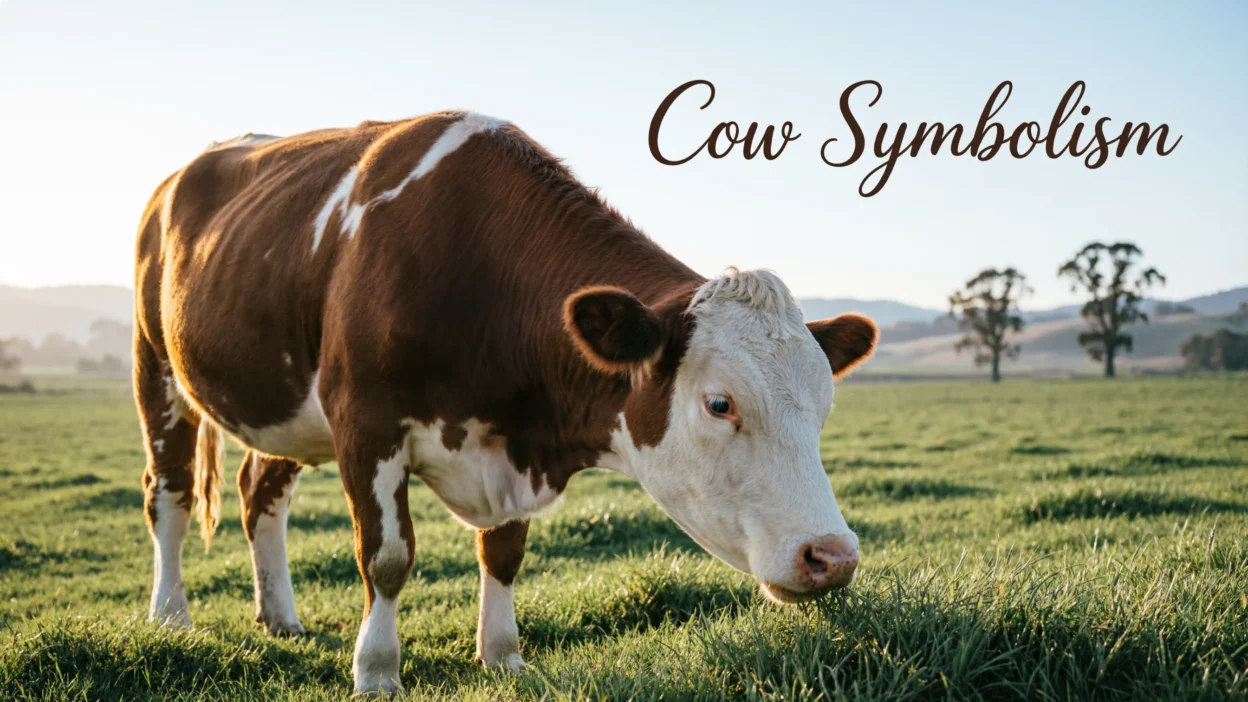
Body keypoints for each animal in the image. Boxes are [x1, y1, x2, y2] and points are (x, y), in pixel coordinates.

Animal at [133, 111, 878, 694]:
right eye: (720, 404)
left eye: (822, 407)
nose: (832, 556)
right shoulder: (365, 422)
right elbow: (388, 555)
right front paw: (376, 671)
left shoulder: (516, 442)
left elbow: (505, 551)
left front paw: (501, 656)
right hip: (157, 367)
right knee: (168, 494)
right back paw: (170, 615)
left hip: (281, 404)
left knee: (261, 491)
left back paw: (280, 616)